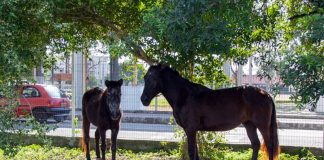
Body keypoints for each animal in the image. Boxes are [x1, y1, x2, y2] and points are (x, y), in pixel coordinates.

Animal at [140, 64, 280, 160]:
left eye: (152, 78)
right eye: (145, 77)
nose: (143, 99)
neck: (184, 96)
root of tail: (265, 93)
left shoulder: (191, 130)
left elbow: (192, 152)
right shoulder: (191, 130)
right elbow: (195, 153)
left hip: (262, 125)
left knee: (269, 146)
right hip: (249, 125)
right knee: (256, 145)